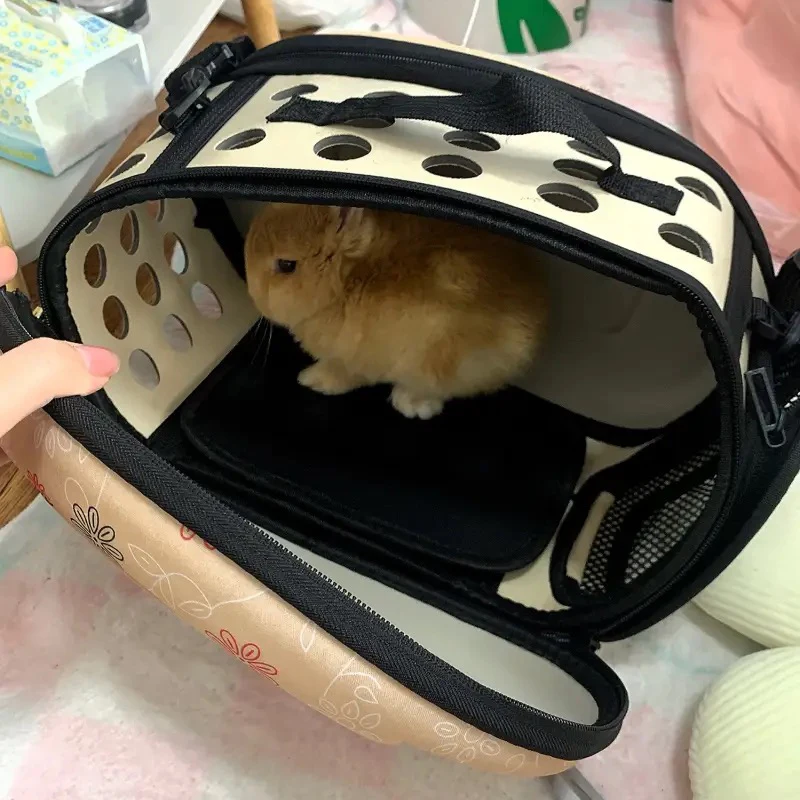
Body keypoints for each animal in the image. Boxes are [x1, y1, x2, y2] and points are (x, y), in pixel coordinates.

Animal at [244, 203, 548, 420]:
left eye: (286, 265)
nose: (253, 295)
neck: (348, 281)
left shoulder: (357, 358)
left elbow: (344, 374)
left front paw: (310, 379)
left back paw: (411, 403)